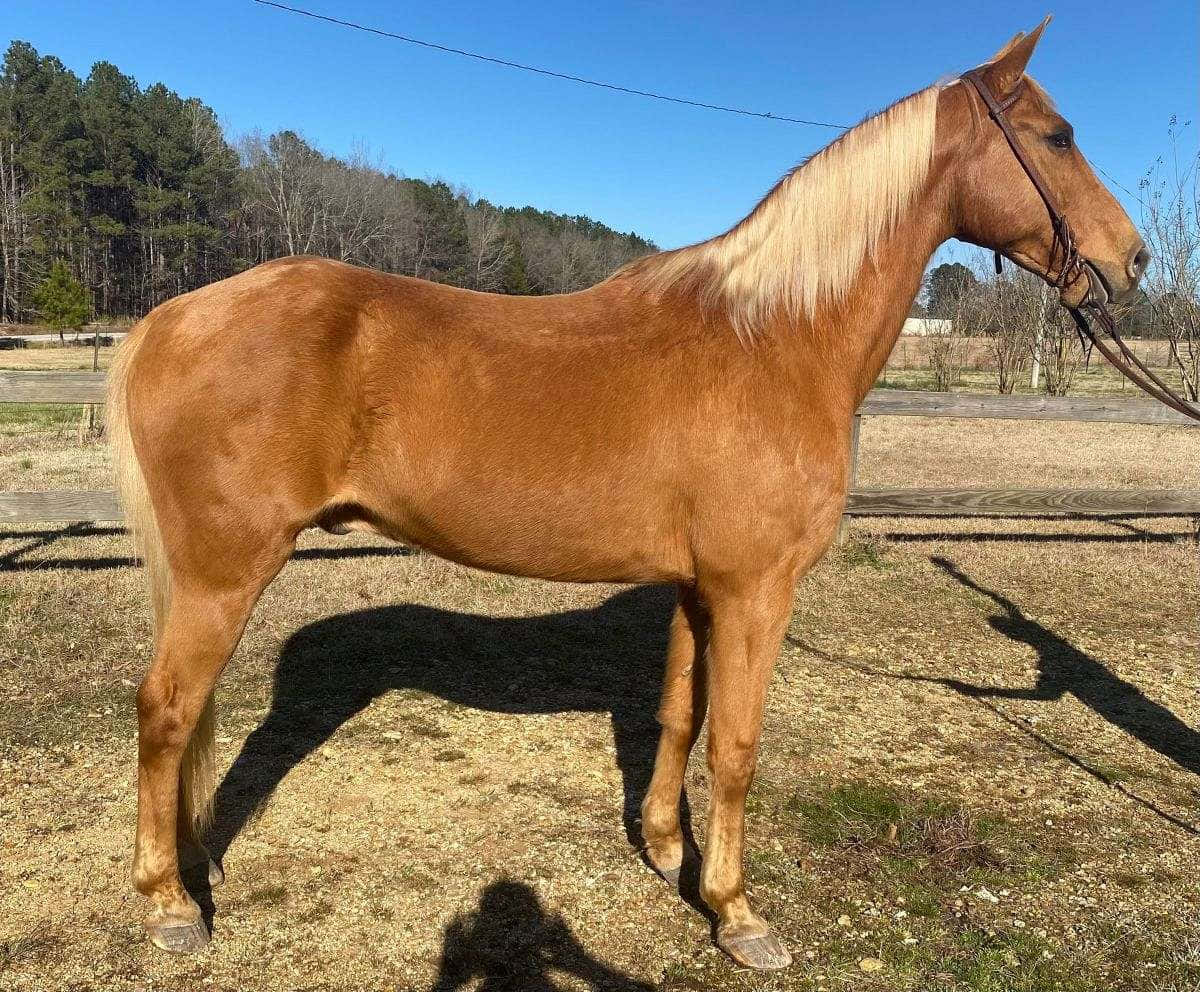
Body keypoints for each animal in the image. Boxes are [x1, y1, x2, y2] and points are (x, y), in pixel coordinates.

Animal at [107, 19, 1147, 970]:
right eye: (1059, 137)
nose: (1132, 261)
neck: (774, 339)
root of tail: (169, 318)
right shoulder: (756, 591)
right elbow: (736, 745)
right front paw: (737, 913)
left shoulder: (697, 587)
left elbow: (680, 716)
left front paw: (664, 851)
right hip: (222, 574)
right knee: (165, 709)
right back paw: (168, 905)